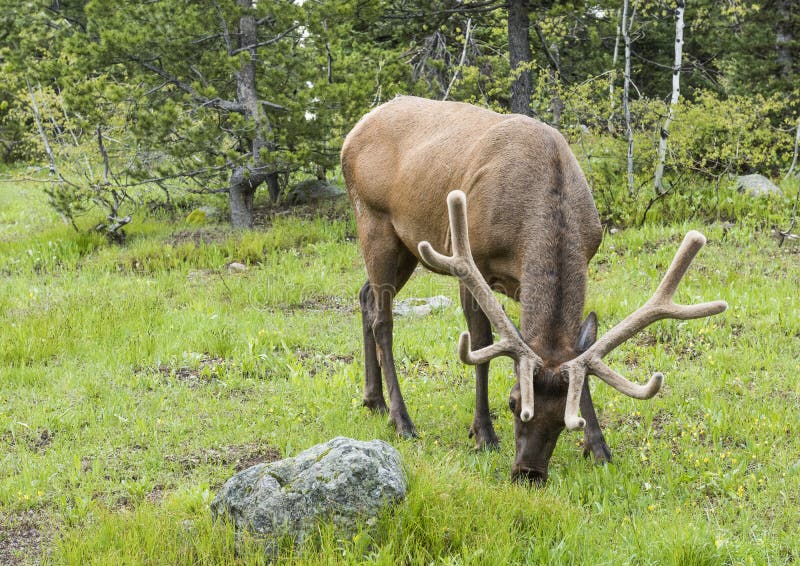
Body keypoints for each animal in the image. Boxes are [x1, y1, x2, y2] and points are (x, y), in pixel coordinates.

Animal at [340, 96, 728, 484]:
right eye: (513, 402)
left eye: (565, 420)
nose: (528, 472)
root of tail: (354, 132)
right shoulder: (470, 264)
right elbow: (481, 344)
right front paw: (483, 433)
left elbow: (578, 355)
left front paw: (599, 449)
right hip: (374, 222)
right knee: (383, 320)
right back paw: (401, 419)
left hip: (407, 247)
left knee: (365, 296)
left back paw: (373, 400)